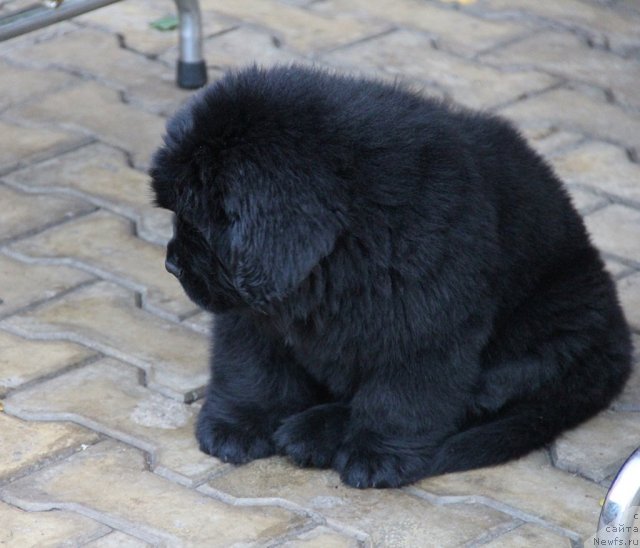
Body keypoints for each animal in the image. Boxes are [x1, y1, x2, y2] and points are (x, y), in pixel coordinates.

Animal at [149, 65, 632, 488]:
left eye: (200, 222)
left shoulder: (425, 324)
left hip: (550, 321)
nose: (172, 265)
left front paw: (376, 455)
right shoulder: (252, 306)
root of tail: (616, 346)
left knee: (479, 398)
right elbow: (250, 366)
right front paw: (238, 424)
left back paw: (315, 432)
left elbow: (400, 395)